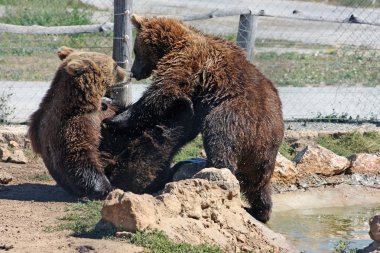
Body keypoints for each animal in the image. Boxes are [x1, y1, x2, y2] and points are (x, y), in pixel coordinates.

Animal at [28, 46, 126, 199]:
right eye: (115, 65)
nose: (129, 73)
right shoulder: (72, 124)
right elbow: (80, 157)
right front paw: (105, 188)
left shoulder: (106, 110)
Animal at [108, 15, 284, 222]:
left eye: (136, 50)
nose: (134, 72)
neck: (172, 46)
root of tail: (262, 133)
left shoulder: (187, 61)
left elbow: (162, 92)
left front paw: (117, 119)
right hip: (265, 153)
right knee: (258, 184)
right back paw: (260, 210)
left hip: (231, 116)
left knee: (220, 143)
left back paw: (208, 169)